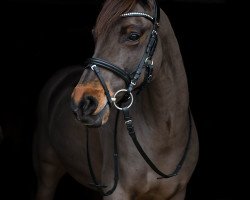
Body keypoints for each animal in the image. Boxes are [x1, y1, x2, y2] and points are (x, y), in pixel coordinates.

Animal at [32, 0, 199, 199]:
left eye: (133, 35)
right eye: (95, 35)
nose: (82, 103)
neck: (166, 134)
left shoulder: (178, 193)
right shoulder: (116, 192)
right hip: (46, 174)